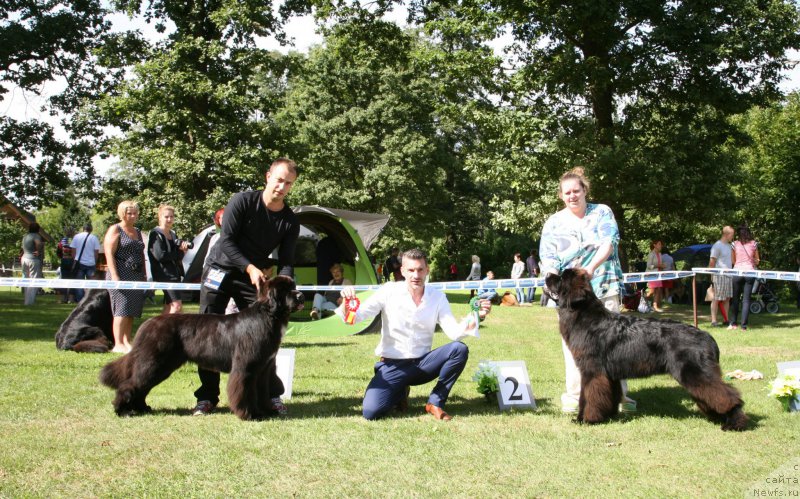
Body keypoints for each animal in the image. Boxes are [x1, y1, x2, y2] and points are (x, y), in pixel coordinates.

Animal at [97, 276, 304, 420]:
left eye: (293, 286)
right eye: (285, 290)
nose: (301, 295)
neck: (269, 316)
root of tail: (148, 323)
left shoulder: (263, 368)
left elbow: (262, 392)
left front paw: (266, 411)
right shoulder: (246, 368)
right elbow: (244, 391)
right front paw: (249, 414)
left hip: (161, 365)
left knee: (142, 385)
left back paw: (142, 408)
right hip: (154, 362)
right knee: (132, 383)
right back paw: (122, 410)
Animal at [548, 268, 748, 432]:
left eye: (561, 278)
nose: (548, 274)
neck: (583, 314)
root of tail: (707, 336)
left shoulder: (592, 371)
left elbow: (588, 396)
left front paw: (586, 419)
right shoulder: (608, 375)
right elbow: (607, 395)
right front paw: (606, 415)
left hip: (694, 372)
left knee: (727, 395)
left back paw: (735, 423)